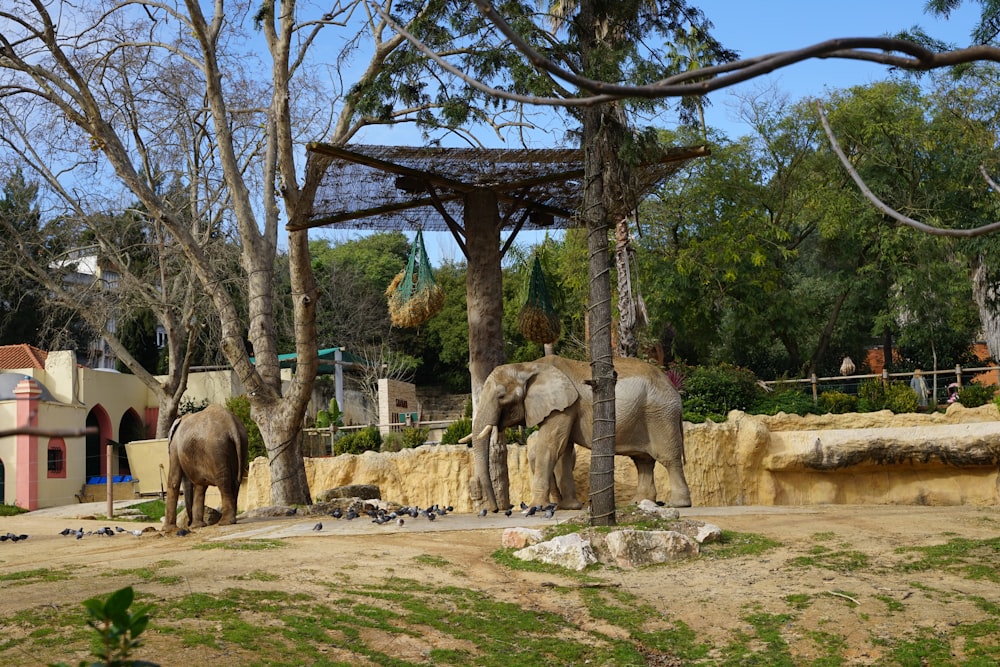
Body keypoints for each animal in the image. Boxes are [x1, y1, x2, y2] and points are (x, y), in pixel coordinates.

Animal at [164, 402, 248, 532]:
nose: (188, 524)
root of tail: (232, 425)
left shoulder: (174, 447)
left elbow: (173, 480)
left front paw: (168, 529)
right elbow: (200, 485)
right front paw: (197, 526)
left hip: (216, 449)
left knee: (223, 482)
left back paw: (224, 523)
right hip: (242, 444)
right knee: (235, 482)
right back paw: (231, 520)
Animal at [466, 358, 688, 516]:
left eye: (501, 396)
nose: (495, 510)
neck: (528, 365)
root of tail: (673, 388)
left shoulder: (563, 407)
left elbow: (550, 446)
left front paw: (535, 507)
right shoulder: (565, 407)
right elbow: (563, 451)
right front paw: (570, 507)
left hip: (661, 415)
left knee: (668, 458)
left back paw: (678, 504)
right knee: (643, 461)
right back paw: (640, 503)